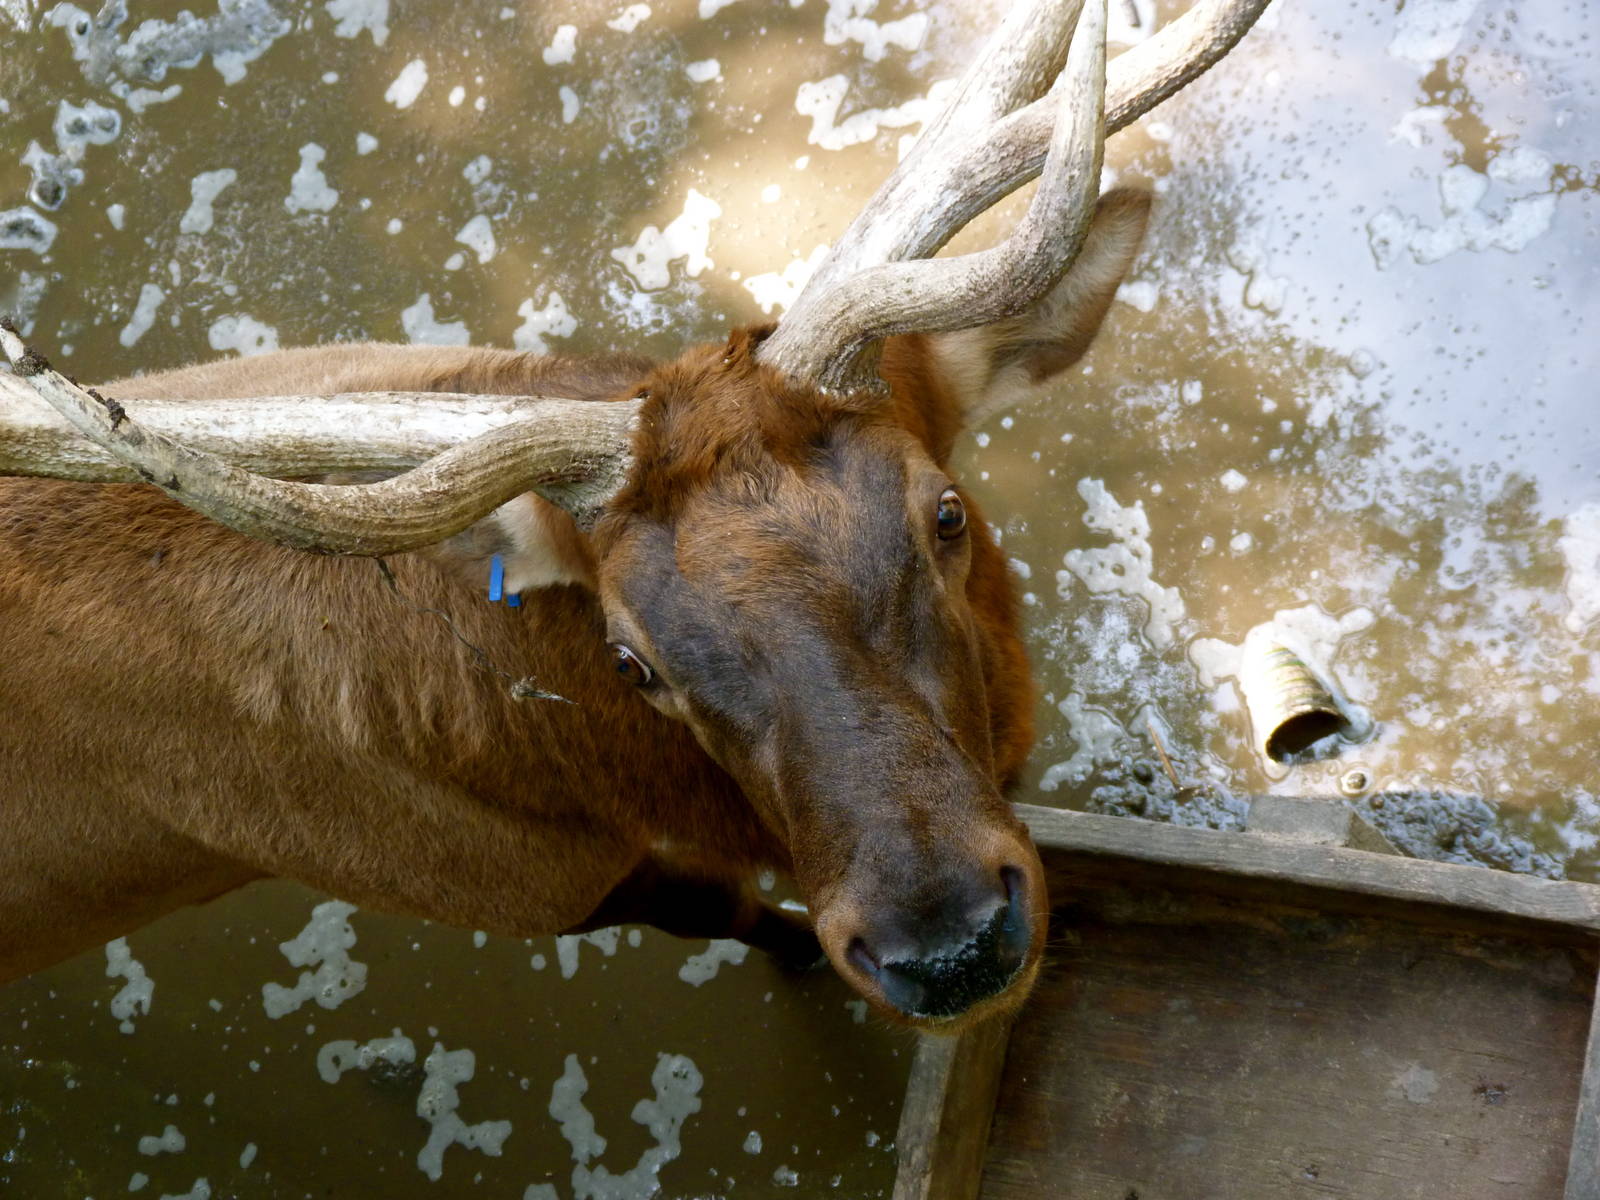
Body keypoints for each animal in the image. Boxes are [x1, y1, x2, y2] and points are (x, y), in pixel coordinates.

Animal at [0, 0, 1267, 1028]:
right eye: (630, 658)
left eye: (944, 514)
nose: (946, 945)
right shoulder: (504, 877)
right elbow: (723, 911)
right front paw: (799, 958)